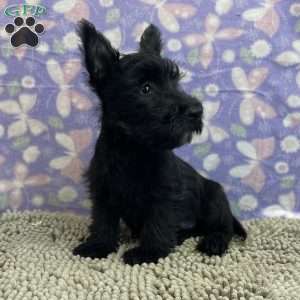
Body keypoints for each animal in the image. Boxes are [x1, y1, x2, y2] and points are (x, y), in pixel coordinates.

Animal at [72, 19, 246, 264]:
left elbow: (158, 222)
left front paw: (149, 252)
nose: (197, 111)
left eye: (175, 82)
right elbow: (103, 220)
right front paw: (98, 246)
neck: (133, 149)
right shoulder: (103, 191)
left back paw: (214, 242)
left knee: (222, 227)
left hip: (215, 197)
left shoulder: (164, 195)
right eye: (146, 88)